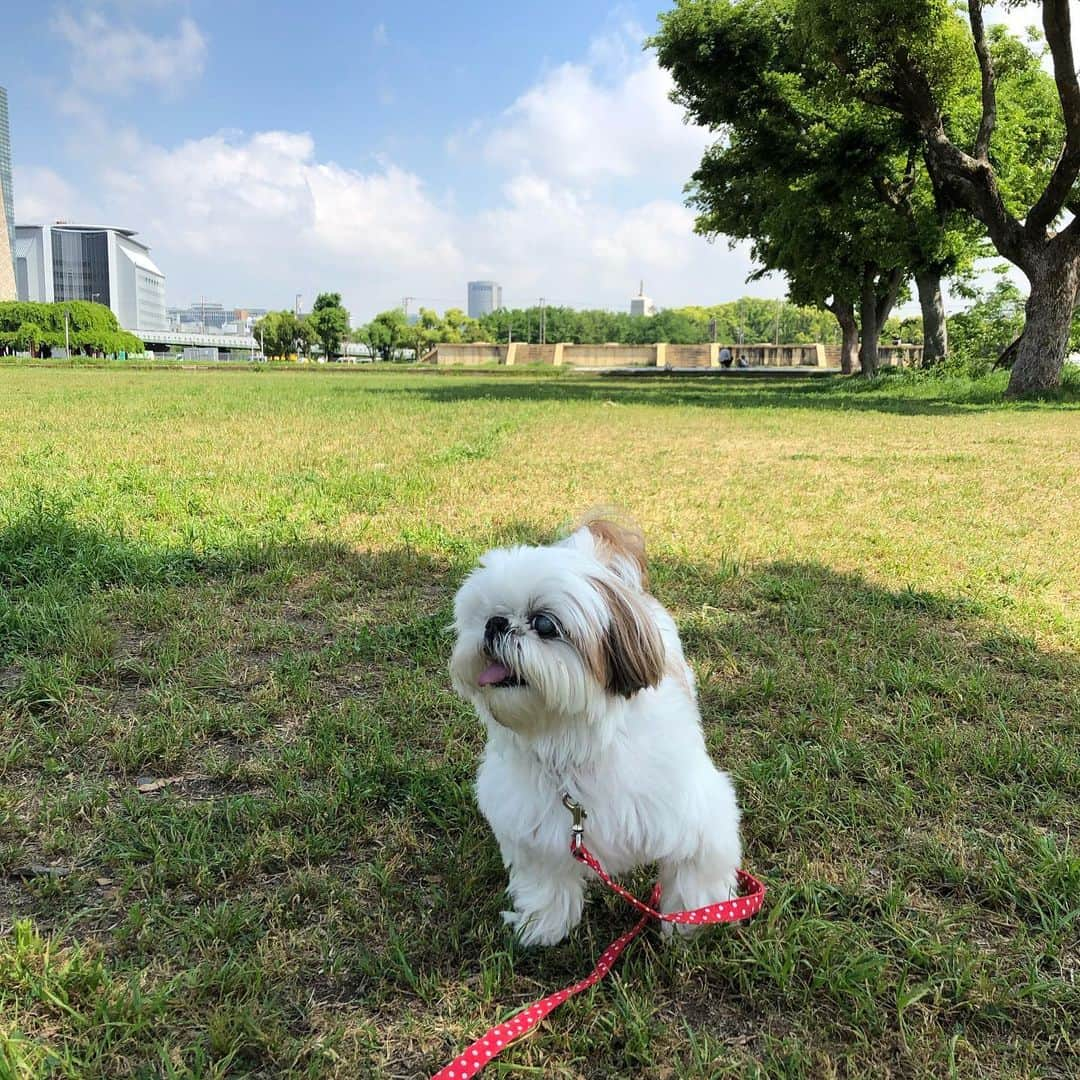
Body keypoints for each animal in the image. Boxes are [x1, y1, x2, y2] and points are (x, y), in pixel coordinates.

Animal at [449, 514, 743, 946]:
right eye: (484, 615)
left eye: (543, 623)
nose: (496, 624)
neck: (572, 743)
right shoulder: (534, 831)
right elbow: (546, 882)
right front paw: (544, 925)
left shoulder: (700, 819)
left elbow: (696, 877)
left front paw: (690, 924)